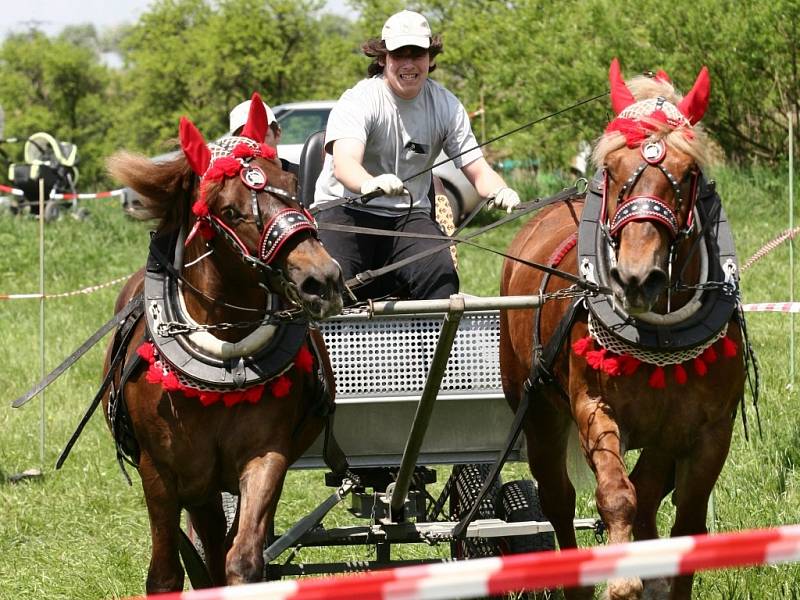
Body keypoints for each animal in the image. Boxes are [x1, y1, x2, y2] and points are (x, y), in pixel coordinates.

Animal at [105, 94, 340, 592]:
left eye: (293, 184)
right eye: (229, 211)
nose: (322, 280)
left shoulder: (266, 455)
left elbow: (244, 559)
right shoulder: (161, 473)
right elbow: (165, 575)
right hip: (198, 485)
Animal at [504, 63, 748, 596]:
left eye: (688, 173)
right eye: (612, 170)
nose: (636, 278)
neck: (660, 333)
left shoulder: (707, 431)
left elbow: (686, 523)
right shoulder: (593, 406)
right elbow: (617, 494)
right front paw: (621, 582)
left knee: (650, 493)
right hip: (537, 414)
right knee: (558, 499)